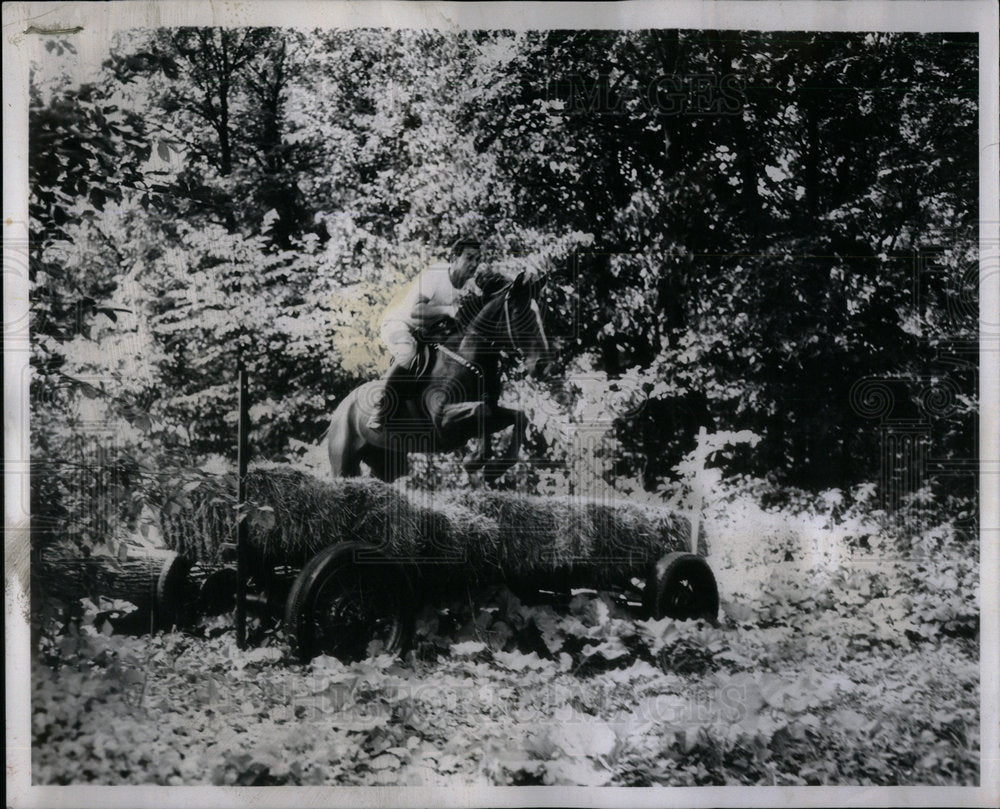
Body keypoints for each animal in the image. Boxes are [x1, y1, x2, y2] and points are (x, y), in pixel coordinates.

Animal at [324, 272, 552, 486]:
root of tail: (342, 407)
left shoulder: (489, 413)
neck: (470, 359)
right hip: (343, 460)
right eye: (518, 312)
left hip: (387, 461)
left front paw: (494, 469)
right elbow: (481, 410)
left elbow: (518, 416)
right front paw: (475, 461)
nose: (542, 364)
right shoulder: (443, 420)